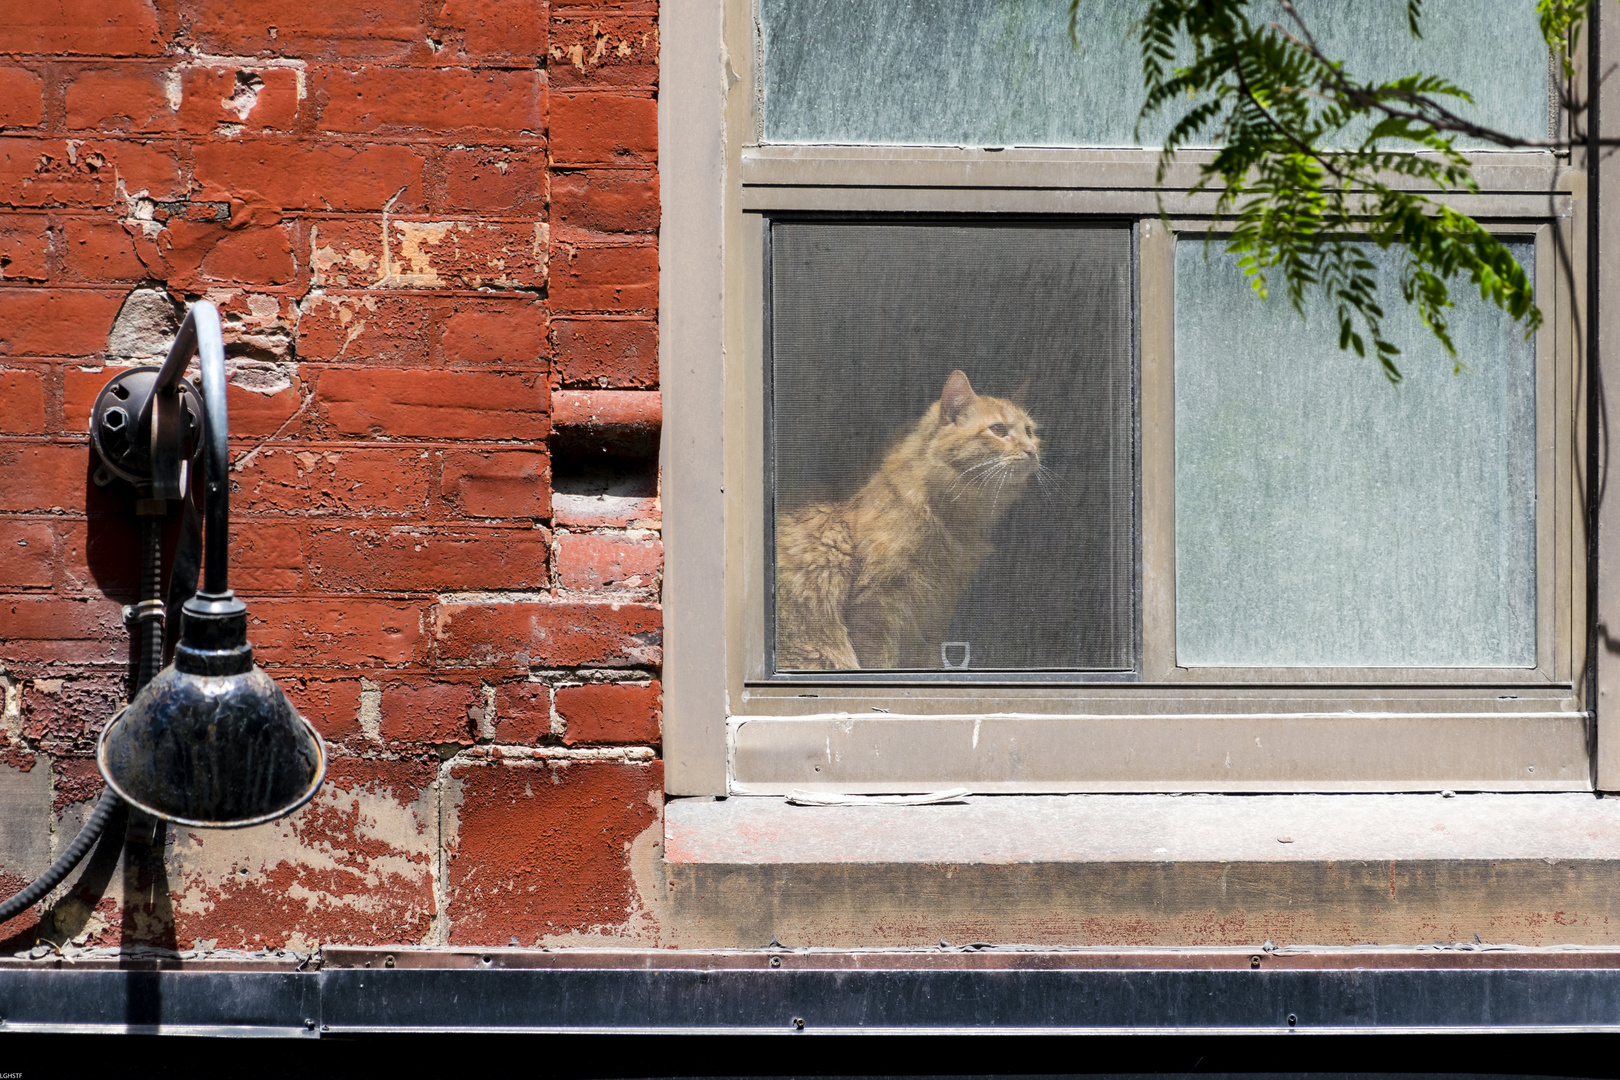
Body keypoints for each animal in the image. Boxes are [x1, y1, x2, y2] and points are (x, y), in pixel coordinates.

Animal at [777, 369, 1043, 667]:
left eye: (1029, 432)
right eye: (998, 430)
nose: (1032, 451)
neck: (954, 519)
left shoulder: (936, 611)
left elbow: (928, 658)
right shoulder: (877, 605)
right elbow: (880, 661)